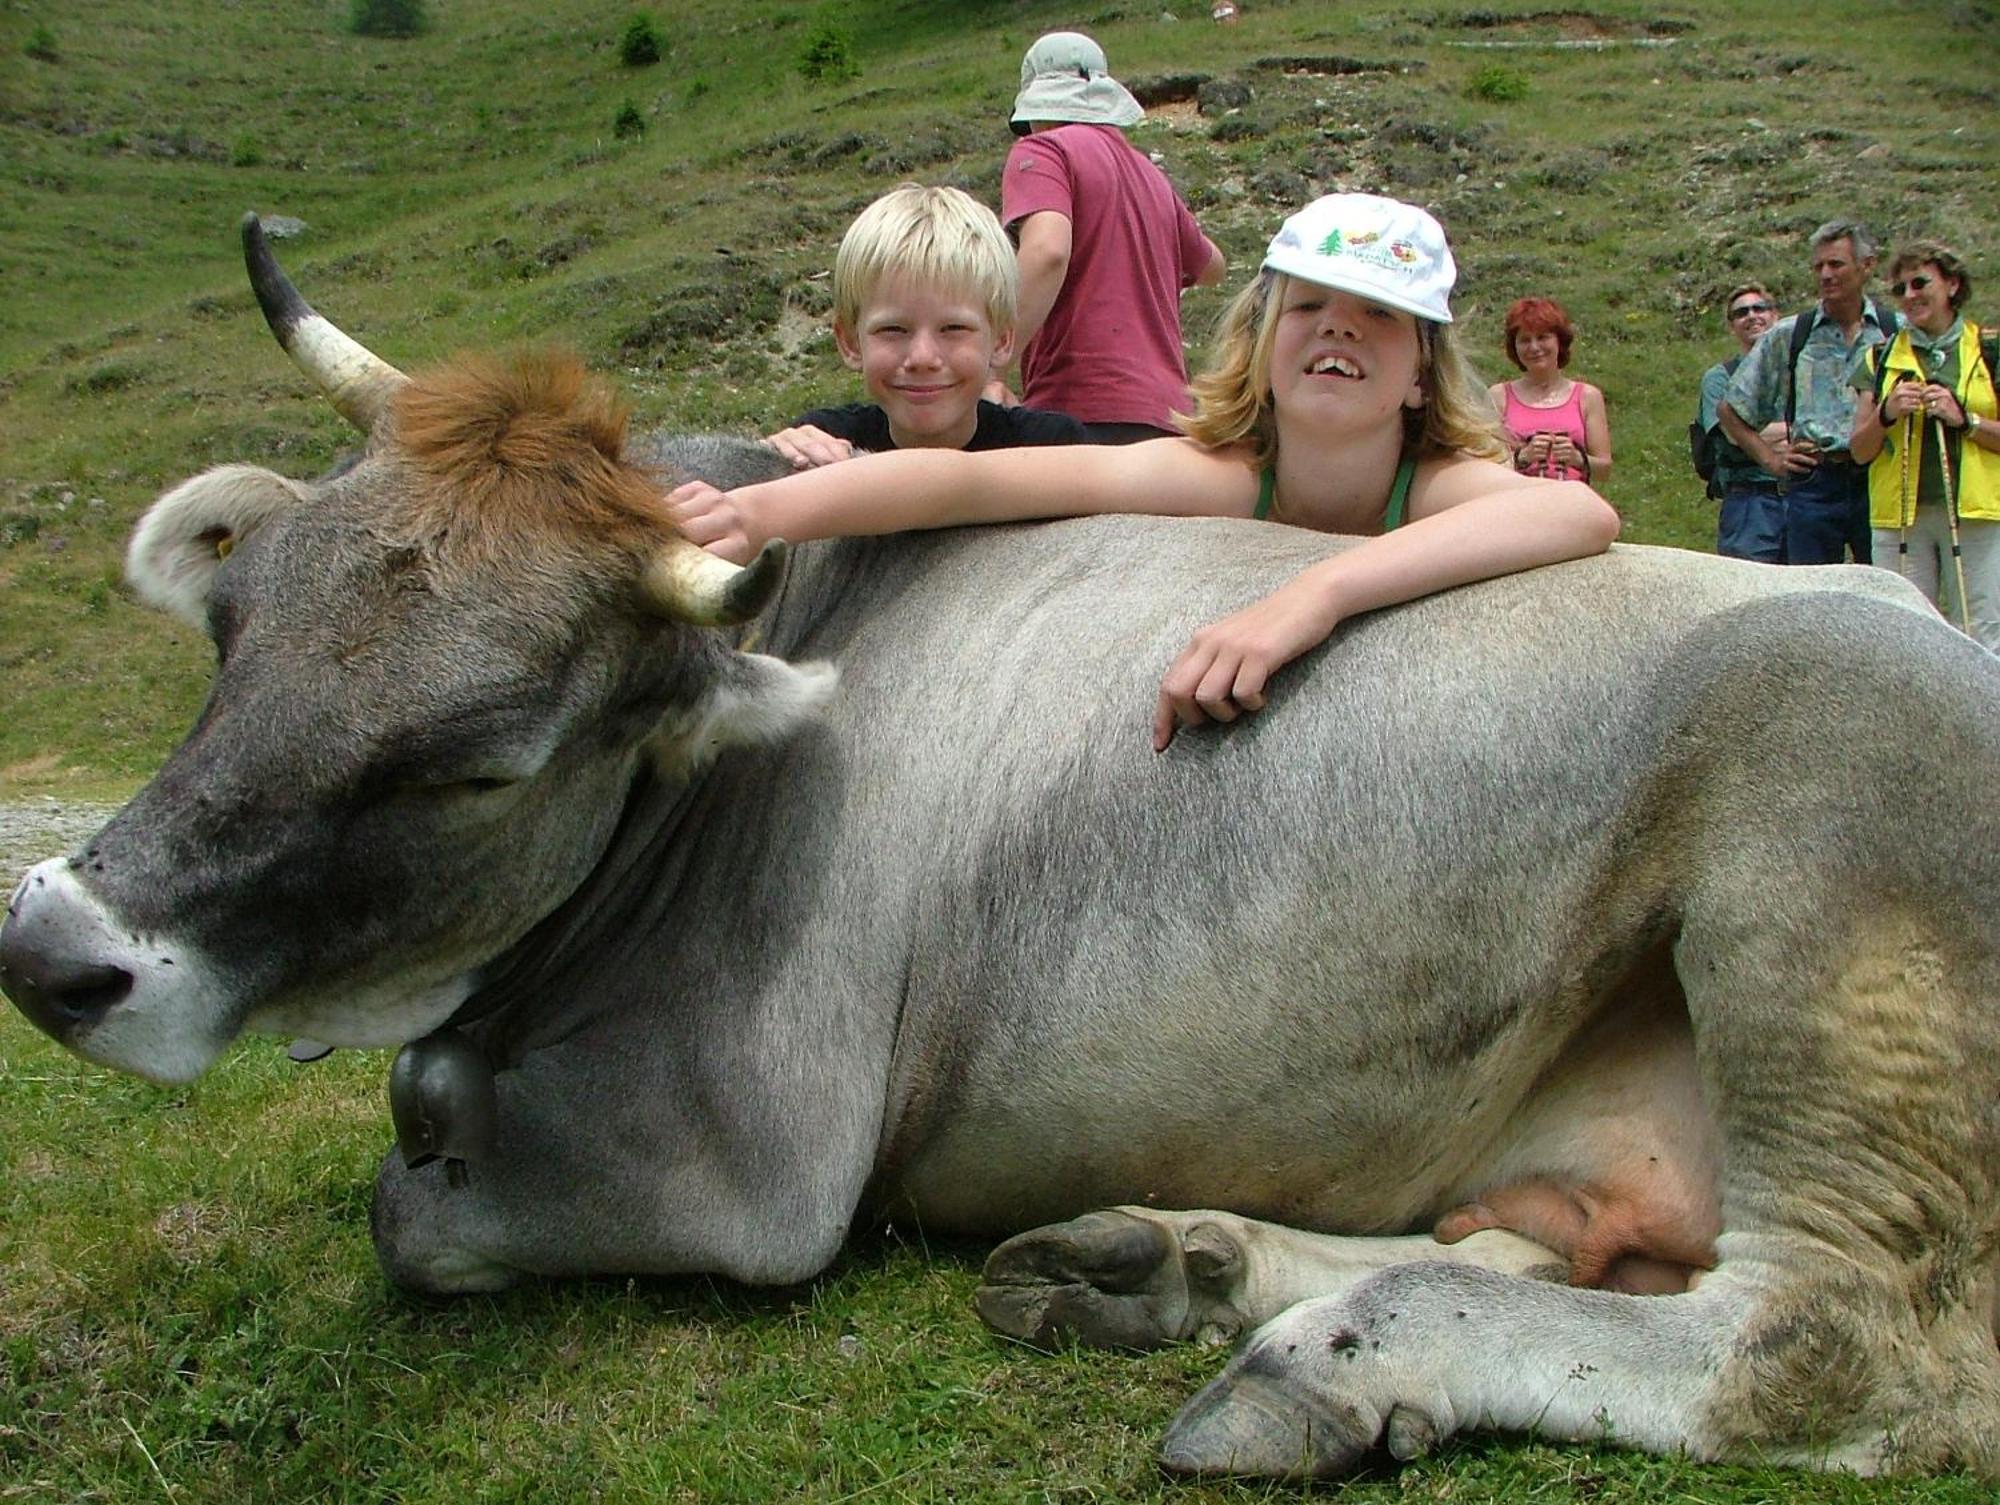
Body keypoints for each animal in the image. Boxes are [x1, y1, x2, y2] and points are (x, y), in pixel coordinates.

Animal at [3, 217, 2000, 1472]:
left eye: (479, 768)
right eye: (234, 628)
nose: (53, 951)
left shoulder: (738, 1164)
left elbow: (409, 1210)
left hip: (1827, 864)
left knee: (1833, 1344)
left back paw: (1323, 1360)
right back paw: (1174, 1266)